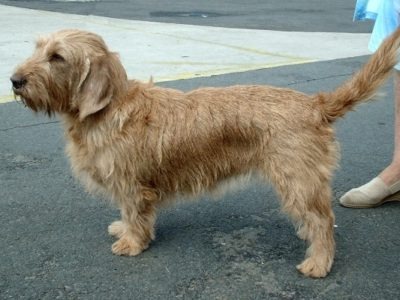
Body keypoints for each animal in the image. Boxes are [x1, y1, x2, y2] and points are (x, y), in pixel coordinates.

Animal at [9, 28, 400, 276]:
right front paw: (123, 229)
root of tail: (315, 104)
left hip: (297, 180)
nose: (14, 80)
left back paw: (318, 263)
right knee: (318, 217)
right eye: (37, 47)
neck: (109, 108)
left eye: (57, 57)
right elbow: (128, 214)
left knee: (323, 222)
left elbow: (136, 214)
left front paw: (132, 243)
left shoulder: (132, 184)